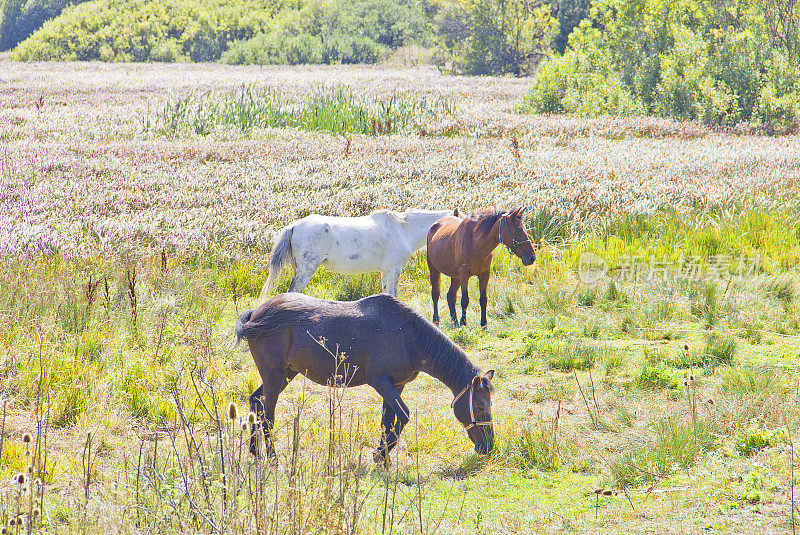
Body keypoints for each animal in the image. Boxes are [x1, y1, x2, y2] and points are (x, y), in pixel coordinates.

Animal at [234, 292, 494, 462]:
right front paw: (381, 454)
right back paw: (273, 458)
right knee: (267, 415)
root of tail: (255, 314)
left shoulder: (396, 385)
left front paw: (383, 455)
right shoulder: (380, 382)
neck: (410, 337)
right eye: (481, 407)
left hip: (285, 374)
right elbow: (403, 415)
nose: (489, 447)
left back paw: (255, 452)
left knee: (255, 402)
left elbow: (388, 421)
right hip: (274, 376)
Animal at [262, 209, 460, 300]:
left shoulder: (384, 271)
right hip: (305, 271)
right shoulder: (393, 270)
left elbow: (386, 292)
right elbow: (393, 293)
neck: (404, 229)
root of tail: (294, 226)